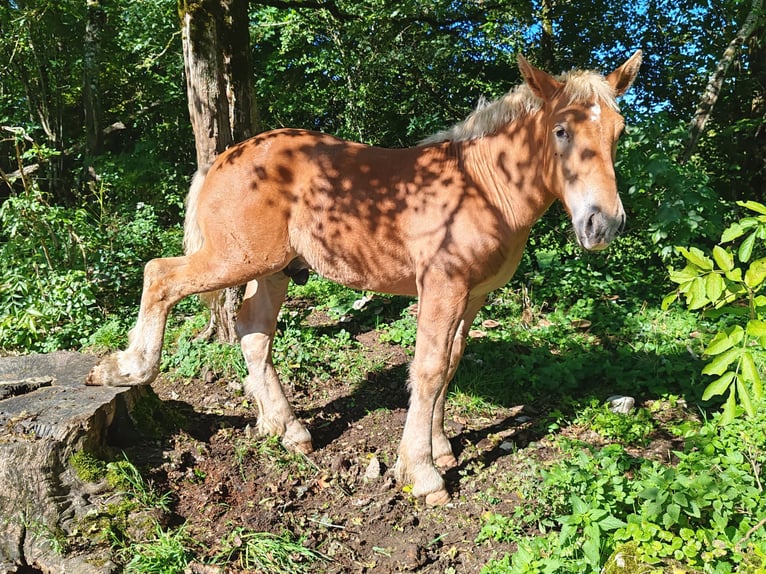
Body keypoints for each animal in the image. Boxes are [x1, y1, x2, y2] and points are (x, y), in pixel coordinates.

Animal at [88, 51, 640, 506]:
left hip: (272, 271)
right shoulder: (442, 286)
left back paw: (286, 428)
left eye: (619, 132)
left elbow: (451, 364)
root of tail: (222, 159)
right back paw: (126, 368)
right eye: (561, 131)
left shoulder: (473, 296)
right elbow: (429, 369)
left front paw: (441, 448)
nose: (603, 225)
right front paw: (422, 474)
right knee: (160, 276)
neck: (484, 186)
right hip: (235, 259)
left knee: (252, 331)